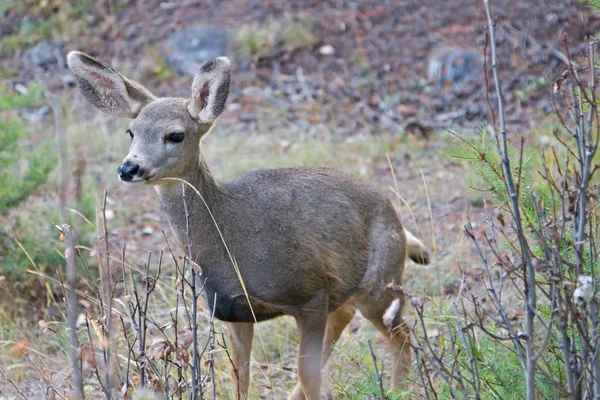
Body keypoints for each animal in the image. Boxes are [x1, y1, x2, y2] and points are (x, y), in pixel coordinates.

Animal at [68, 51, 428, 398]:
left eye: (175, 135)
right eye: (131, 132)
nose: (129, 168)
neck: (232, 240)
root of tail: (397, 221)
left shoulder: (311, 293)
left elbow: (308, 374)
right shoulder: (233, 310)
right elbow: (240, 377)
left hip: (380, 281)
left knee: (401, 339)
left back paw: (397, 390)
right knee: (348, 318)